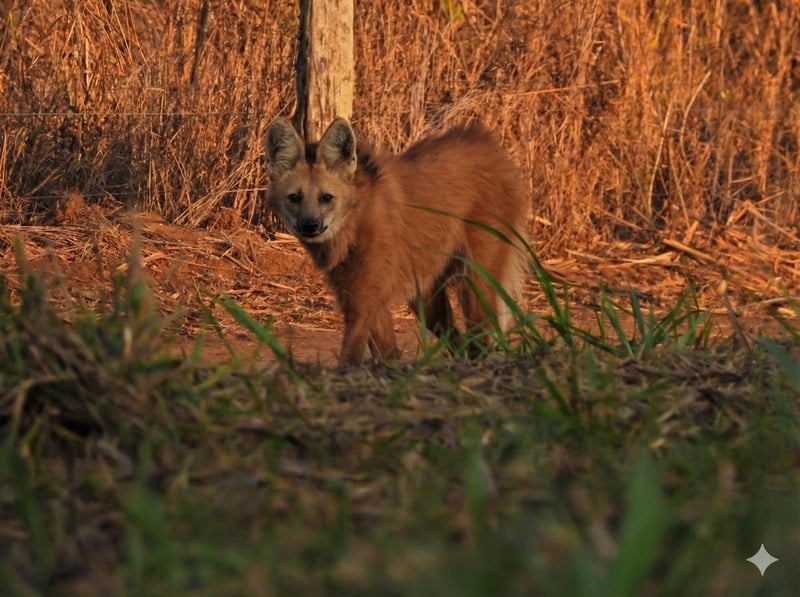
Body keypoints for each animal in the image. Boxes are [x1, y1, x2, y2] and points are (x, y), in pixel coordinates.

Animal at [265, 117, 528, 365]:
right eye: (294, 198)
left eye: (326, 198)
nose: (310, 226)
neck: (353, 221)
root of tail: (489, 144)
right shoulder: (362, 295)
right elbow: (387, 354)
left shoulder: (365, 298)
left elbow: (351, 356)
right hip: (425, 294)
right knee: (457, 338)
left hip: (474, 278)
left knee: (479, 335)